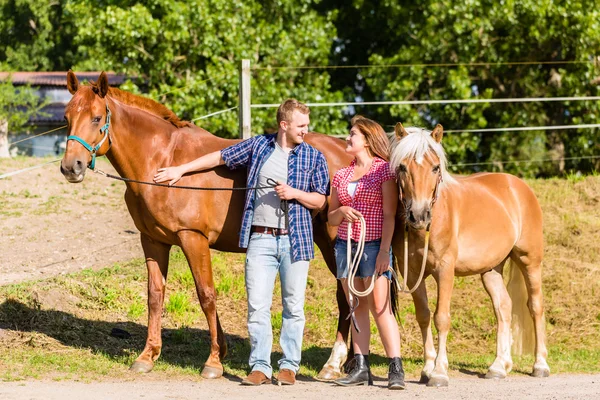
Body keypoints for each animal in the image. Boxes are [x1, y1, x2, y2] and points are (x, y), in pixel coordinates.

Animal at [390, 124, 548, 388]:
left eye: (435, 167)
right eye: (402, 167)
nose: (419, 215)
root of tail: (518, 186)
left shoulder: (445, 270)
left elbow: (441, 317)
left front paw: (439, 372)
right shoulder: (412, 275)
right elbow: (423, 316)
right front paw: (427, 368)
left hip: (529, 260)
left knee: (535, 306)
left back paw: (540, 365)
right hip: (491, 269)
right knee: (503, 307)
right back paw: (498, 367)